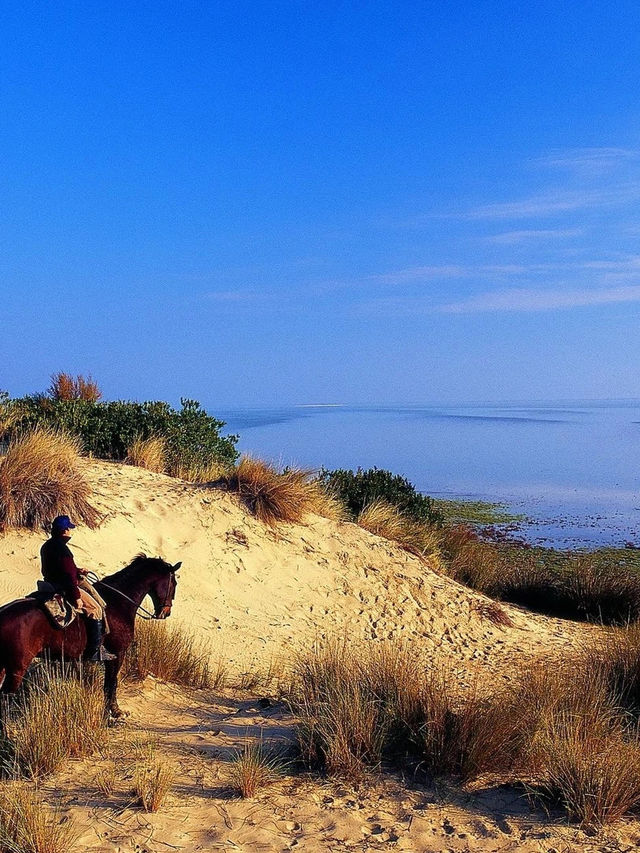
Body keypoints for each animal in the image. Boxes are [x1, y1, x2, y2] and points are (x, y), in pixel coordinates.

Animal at [0, 556, 180, 716]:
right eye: (174, 584)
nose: (166, 612)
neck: (118, 602)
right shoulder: (117, 654)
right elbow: (111, 684)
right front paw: (115, 712)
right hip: (17, 669)